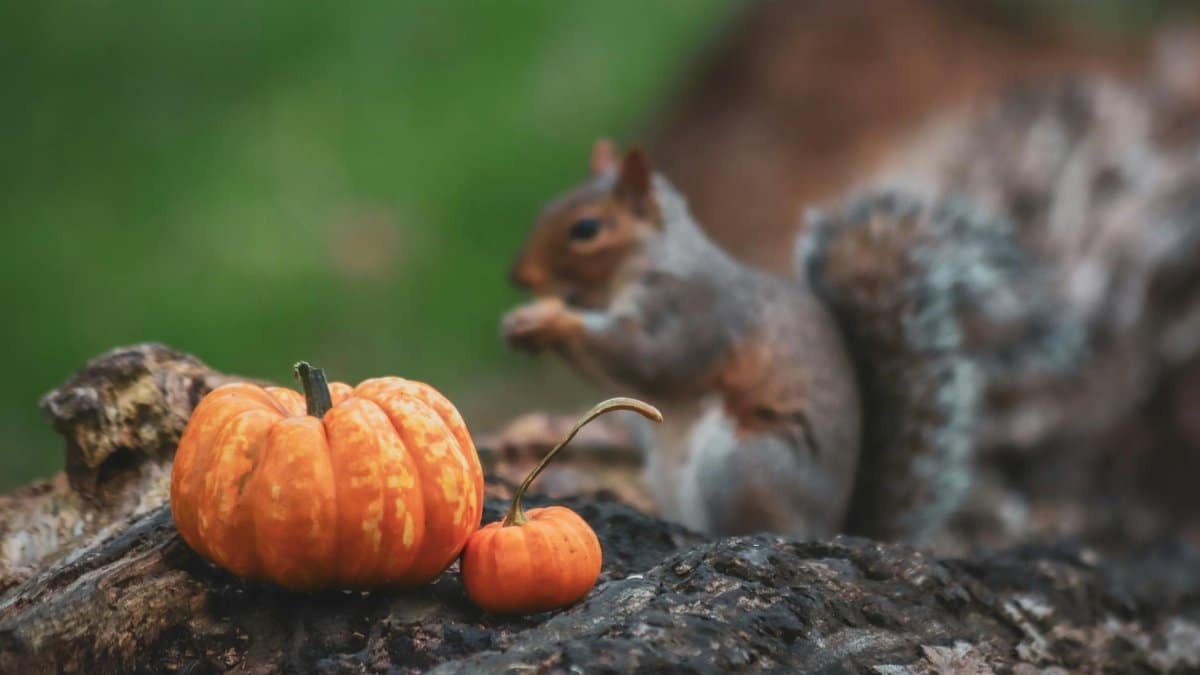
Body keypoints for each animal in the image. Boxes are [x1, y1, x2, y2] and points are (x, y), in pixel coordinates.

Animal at [501, 74, 1200, 545]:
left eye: (587, 229)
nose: (519, 276)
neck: (641, 266)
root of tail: (835, 527)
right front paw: (526, 324)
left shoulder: (695, 311)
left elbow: (650, 360)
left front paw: (551, 319)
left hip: (746, 464)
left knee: (758, 527)